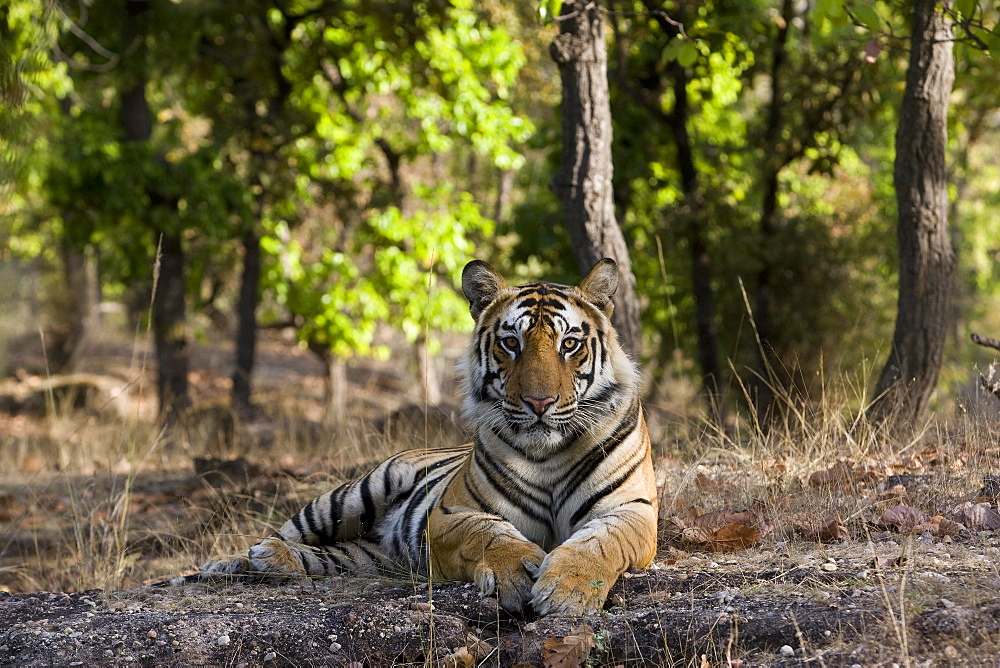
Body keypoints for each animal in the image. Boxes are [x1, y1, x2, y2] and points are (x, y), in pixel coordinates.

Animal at [165, 260, 660, 616]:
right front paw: (519, 572)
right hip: (350, 495)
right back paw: (239, 559)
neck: (548, 450)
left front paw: (567, 589)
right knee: (286, 533)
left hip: (370, 553)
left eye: (569, 344)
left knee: (331, 556)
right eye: (511, 343)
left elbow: (598, 544)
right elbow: (491, 535)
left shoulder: (630, 510)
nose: (539, 402)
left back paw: (274, 562)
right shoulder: (453, 513)